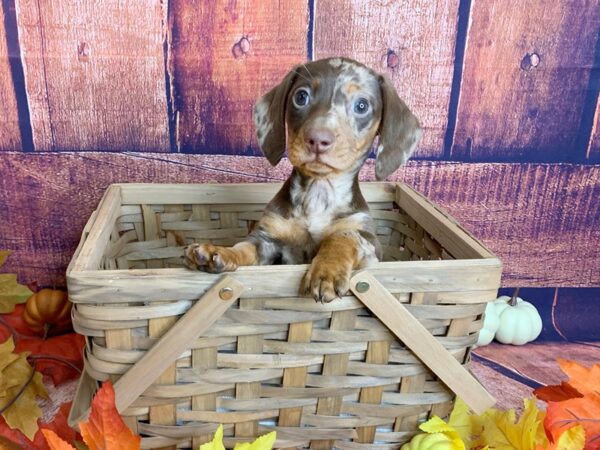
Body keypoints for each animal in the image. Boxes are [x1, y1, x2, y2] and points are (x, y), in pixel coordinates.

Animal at [184, 57, 422, 302]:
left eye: (362, 105)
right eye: (301, 97)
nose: (318, 139)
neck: (319, 191)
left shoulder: (371, 244)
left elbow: (344, 235)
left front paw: (327, 270)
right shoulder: (267, 241)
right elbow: (245, 247)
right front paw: (218, 251)